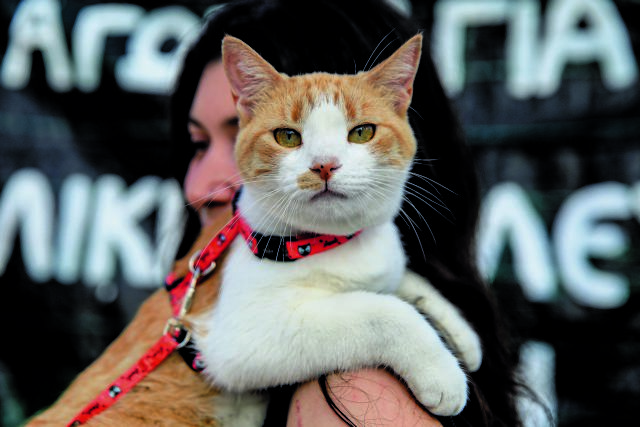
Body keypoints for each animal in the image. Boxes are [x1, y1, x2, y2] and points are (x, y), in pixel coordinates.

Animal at [195, 34, 482, 426]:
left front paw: (463, 336)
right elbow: (380, 311)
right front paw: (441, 372)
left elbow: (409, 282)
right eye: (287, 137)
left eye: (362, 132)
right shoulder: (241, 339)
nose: (324, 165)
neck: (331, 242)